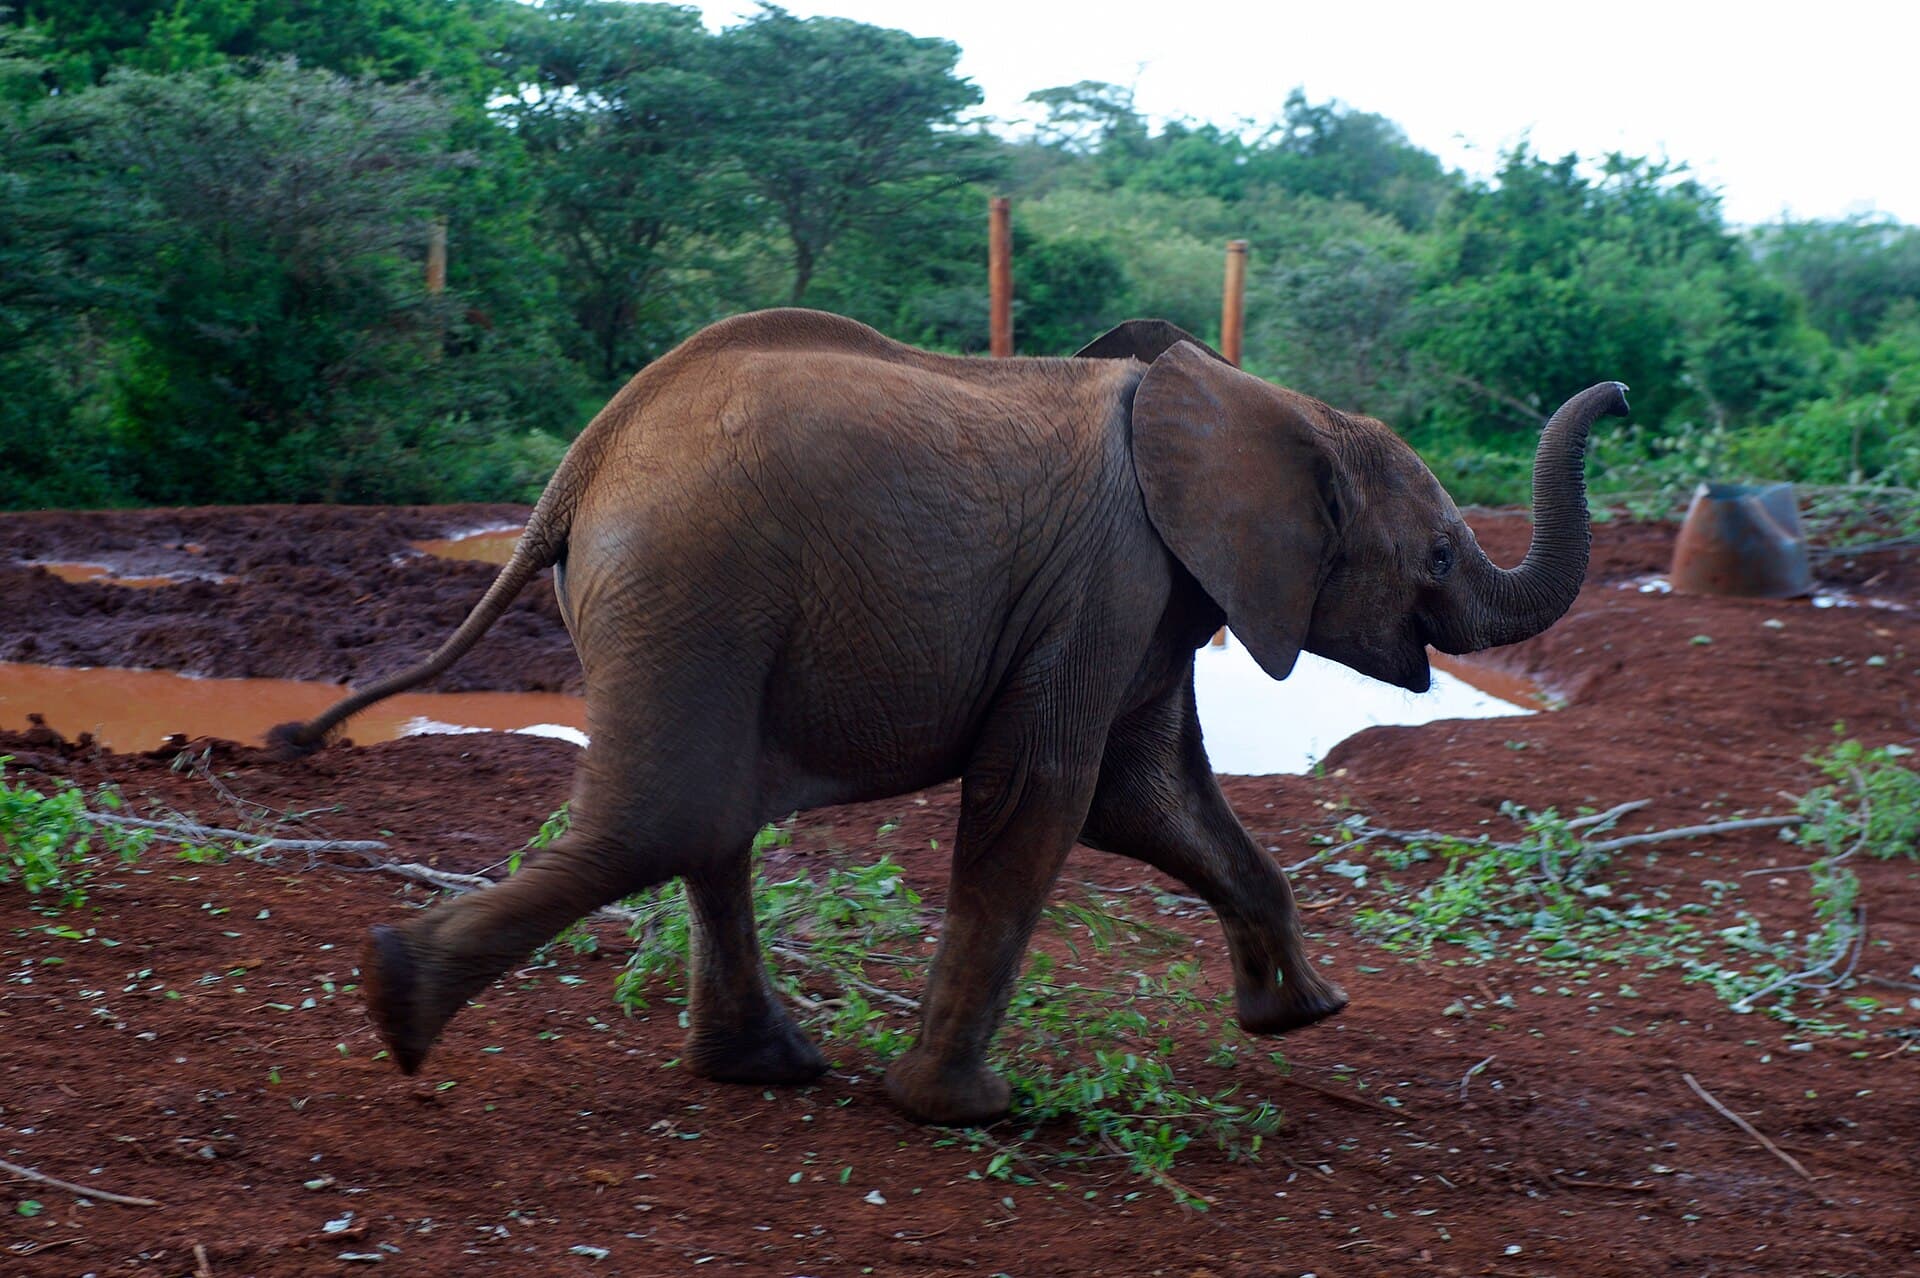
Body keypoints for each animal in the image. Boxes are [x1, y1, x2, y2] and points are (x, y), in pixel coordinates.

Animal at [273, 308, 1627, 1125]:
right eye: (1441, 552)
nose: (1617, 392)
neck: (1264, 404)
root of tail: (584, 461)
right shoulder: (1109, 580)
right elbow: (1045, 803)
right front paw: (965, 1110)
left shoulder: (1152, 597)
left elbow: (1150, 804)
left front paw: (1302, 1016)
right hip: (694, 572)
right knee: (670, 816)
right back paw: (398, 998)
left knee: (706, 821)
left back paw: (758, 1069)